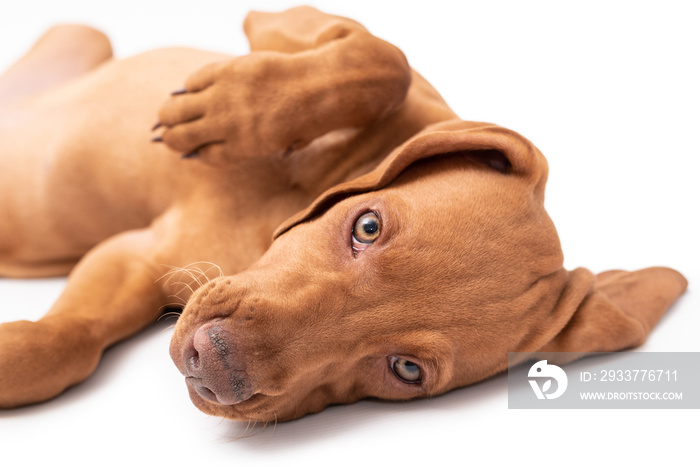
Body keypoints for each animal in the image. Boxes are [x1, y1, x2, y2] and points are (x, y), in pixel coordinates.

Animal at [0, 5, 688, 422]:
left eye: (405, 370)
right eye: (368, 226)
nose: (213, 364)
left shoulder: (140, 262)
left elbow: (69, 342)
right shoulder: (292, 26)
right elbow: (382, 60)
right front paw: (227, 109)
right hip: (82, 36)